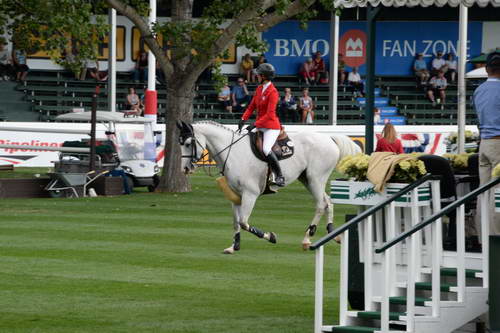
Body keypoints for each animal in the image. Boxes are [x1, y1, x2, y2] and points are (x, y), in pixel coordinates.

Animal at [178, 120, 362, 253]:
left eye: (187, 143)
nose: (185, 169)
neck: (234, 153)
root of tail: (329, 138)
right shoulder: (236, 196)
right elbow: (236, 222)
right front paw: (234, 246)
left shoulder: (250, 194)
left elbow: (244, 222)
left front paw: (270, 236)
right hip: (307, 180)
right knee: (328, 202)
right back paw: (332, 234)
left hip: (316, 179)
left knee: (320, 205)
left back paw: (307, 238)